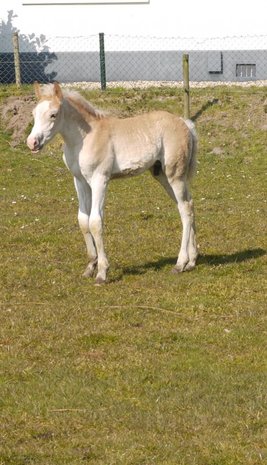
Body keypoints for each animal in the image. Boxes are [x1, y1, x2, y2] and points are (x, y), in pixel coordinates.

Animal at [27, 82, 199, 282]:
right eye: (34, 113)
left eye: (53, 114)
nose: (32, 142)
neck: (85, 138)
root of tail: (184, 123)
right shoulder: (80, 181)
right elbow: (83, 220)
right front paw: (90, 266)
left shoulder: (99, 179)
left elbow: (95, 222)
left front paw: (102, 272)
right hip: (162, 176)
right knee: (187, 205)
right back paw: (192, 261)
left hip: (175, 175)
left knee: (185, 209)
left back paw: (180, 263)